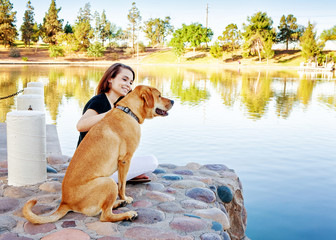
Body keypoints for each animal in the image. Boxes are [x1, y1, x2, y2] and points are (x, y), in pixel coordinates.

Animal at [23, 85, 173, 223]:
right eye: (159, 95)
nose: (173, 101)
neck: (129, 111)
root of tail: (64, 203)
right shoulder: (125, 160)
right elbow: (122, 186)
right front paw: (125, 198)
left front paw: (122, 200)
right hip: (109, 182)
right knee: (105, 216)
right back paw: (127, 213)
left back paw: (118, 204)